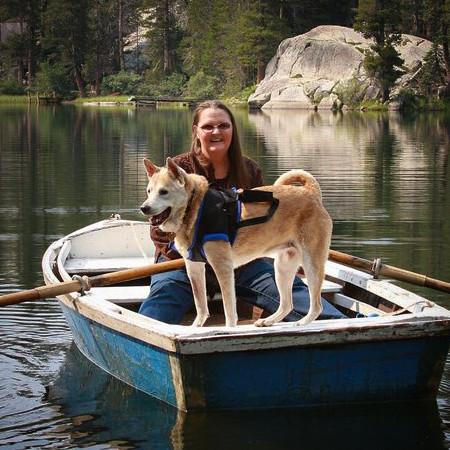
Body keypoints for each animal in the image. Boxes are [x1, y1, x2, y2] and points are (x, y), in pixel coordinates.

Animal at [141, 158, 334, 326]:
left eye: (164, 192)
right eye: (149, 191)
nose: (144, 208)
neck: (194, 208)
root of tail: (311, 193)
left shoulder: (223, 266)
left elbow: (229, 310)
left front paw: (228, 330)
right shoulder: (194, 267)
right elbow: (201, 306)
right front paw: (195, 328)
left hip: (312, 264)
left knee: (316, 305)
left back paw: (302, 323)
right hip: (283, 266)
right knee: (287, 304)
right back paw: (268, 321)